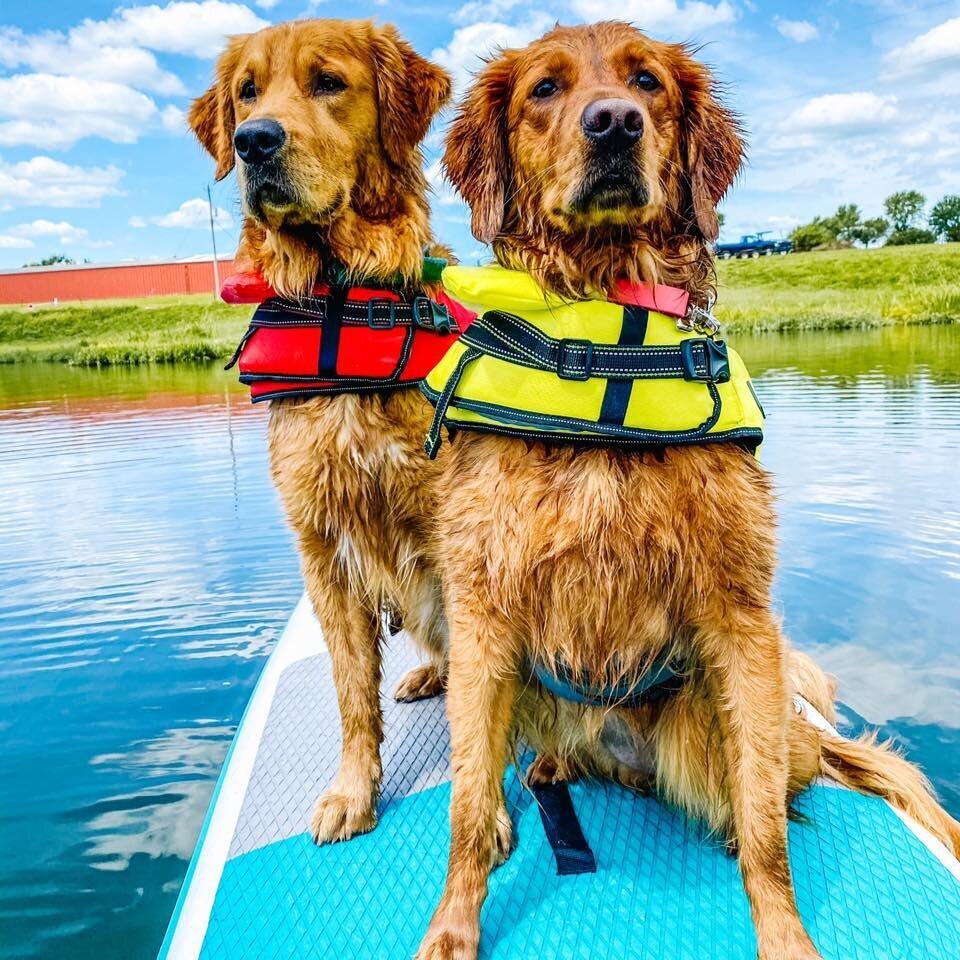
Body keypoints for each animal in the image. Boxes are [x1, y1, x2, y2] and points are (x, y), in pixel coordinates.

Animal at [189, 22, 464, 844]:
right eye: (246, 93)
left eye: (328, 83)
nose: (252, 141)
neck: (342, 298)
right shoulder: (321, 547)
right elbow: (349, 691)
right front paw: (353, 791)